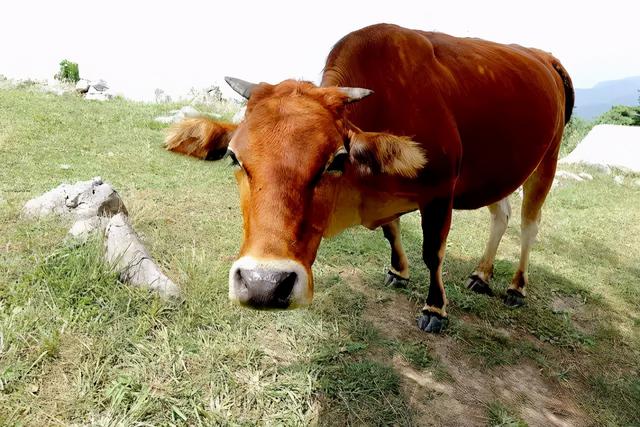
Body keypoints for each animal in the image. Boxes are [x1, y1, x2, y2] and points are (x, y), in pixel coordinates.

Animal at [165, 24, 576, 334]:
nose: (263, 285)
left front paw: (435, 308)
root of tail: (546, 57)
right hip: (498, 172)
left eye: (336, 160)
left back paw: (516, 286)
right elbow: (391, 231)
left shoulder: (442, 190)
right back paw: (481, 274)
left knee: (529, 225)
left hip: (548, 160)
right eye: (234, 157)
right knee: (500, 214)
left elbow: (434, 252)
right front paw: (398, 271)